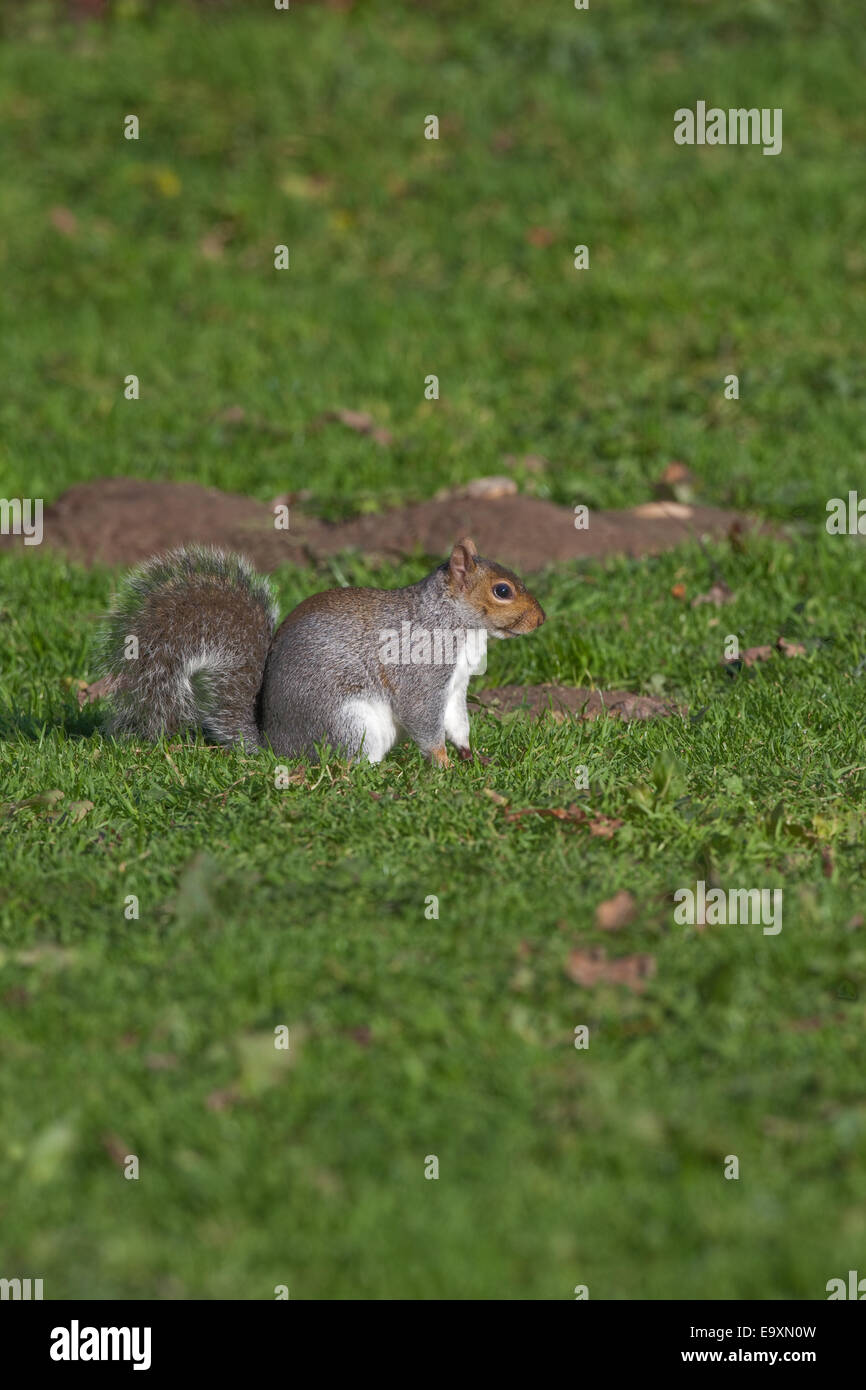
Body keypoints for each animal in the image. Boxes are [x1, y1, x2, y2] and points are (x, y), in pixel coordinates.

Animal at [101, 536, 544, 767]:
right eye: (502, 590)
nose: (540, 620)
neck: (455, 621)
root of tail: (278, 747)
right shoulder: (420, 676)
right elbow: (424, 720)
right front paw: (443, 765)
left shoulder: (454, 686)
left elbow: (457, 721)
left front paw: (471, 756)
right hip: (348, 723)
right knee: (343, 764)